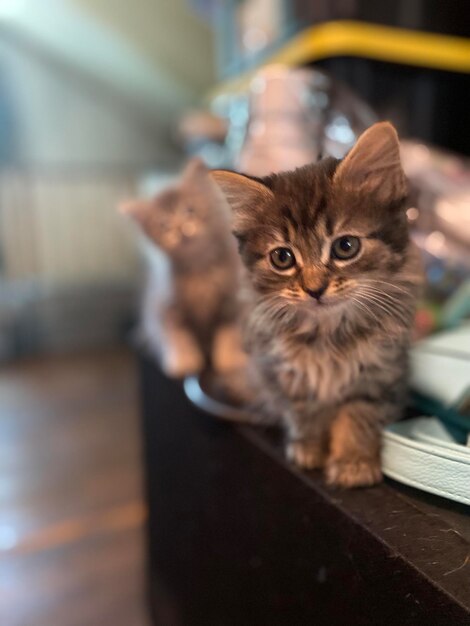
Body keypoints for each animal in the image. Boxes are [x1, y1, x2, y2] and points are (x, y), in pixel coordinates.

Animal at [122, 158, 242, 378]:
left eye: (189, 210)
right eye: (164, 224)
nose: (181, 230)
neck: (200, 268)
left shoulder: (231, 301)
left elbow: (228, 331)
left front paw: (230, 358)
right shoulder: (168, 304)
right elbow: (178, 335)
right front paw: (183, 361)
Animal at [213, 119, 422, 486]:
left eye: (345, 247)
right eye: (282, 258)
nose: (314, 289)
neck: (329, 332)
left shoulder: (381, 373)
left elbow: (359, 415)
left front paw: (353, 462)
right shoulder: (286, 373)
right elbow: (306, 413)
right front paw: (309, 448)